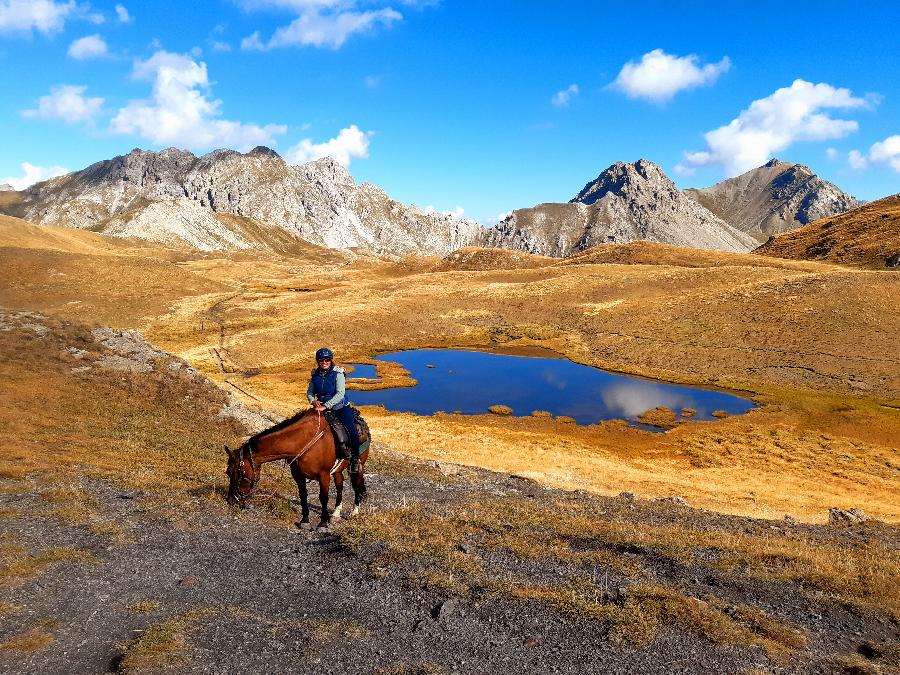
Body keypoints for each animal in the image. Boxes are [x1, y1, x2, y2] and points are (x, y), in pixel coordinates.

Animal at [225, 406, 370, 528]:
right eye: (228, 473)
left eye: (234, 472)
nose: (230, 500)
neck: (303, 441)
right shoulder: (298, 476)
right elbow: (303, 495)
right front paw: (305, 520)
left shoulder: (323, 475)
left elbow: (323, 497)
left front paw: (323, 522)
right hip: (337, 470)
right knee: (340, 484)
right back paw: (335, 513)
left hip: (359, 465)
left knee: (357, 484)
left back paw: (354, 512)